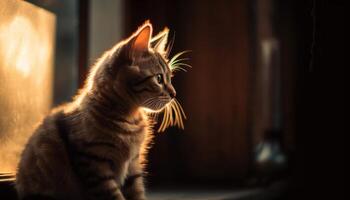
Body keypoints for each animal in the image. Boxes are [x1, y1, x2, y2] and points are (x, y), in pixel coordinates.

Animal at [14, 21, 186, 200]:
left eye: (170, 78)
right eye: (159, 79)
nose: (174, 93)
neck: (129, 119)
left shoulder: (133, 165)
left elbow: (137, 191)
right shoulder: (95, 165)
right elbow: (114, 194)